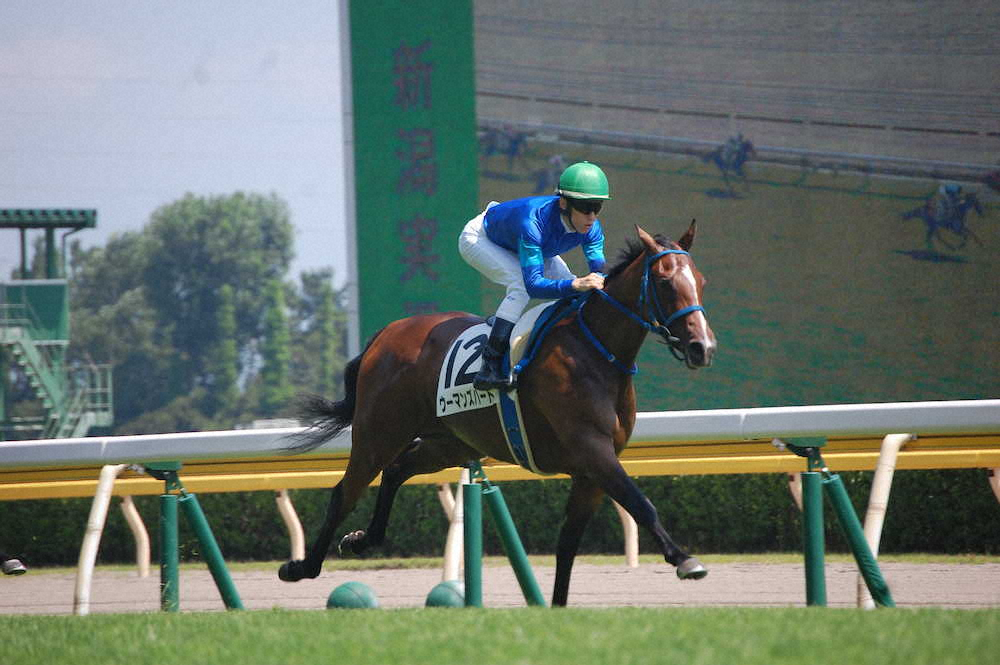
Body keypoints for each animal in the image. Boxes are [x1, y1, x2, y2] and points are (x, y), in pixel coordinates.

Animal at [278, 223, 717, 606]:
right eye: (665, 282)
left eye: (700, 280)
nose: (702, 347)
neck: (595, 351)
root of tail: (384, 335)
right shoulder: (594, 451)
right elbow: (641, 503)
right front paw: (685, 560)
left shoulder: (590, 471)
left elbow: (568, 543)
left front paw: (556, 606)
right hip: (378, 433)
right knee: (345, 492)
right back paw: (300, 567)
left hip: (450, 442)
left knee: (398, 470)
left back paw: (361, 540)